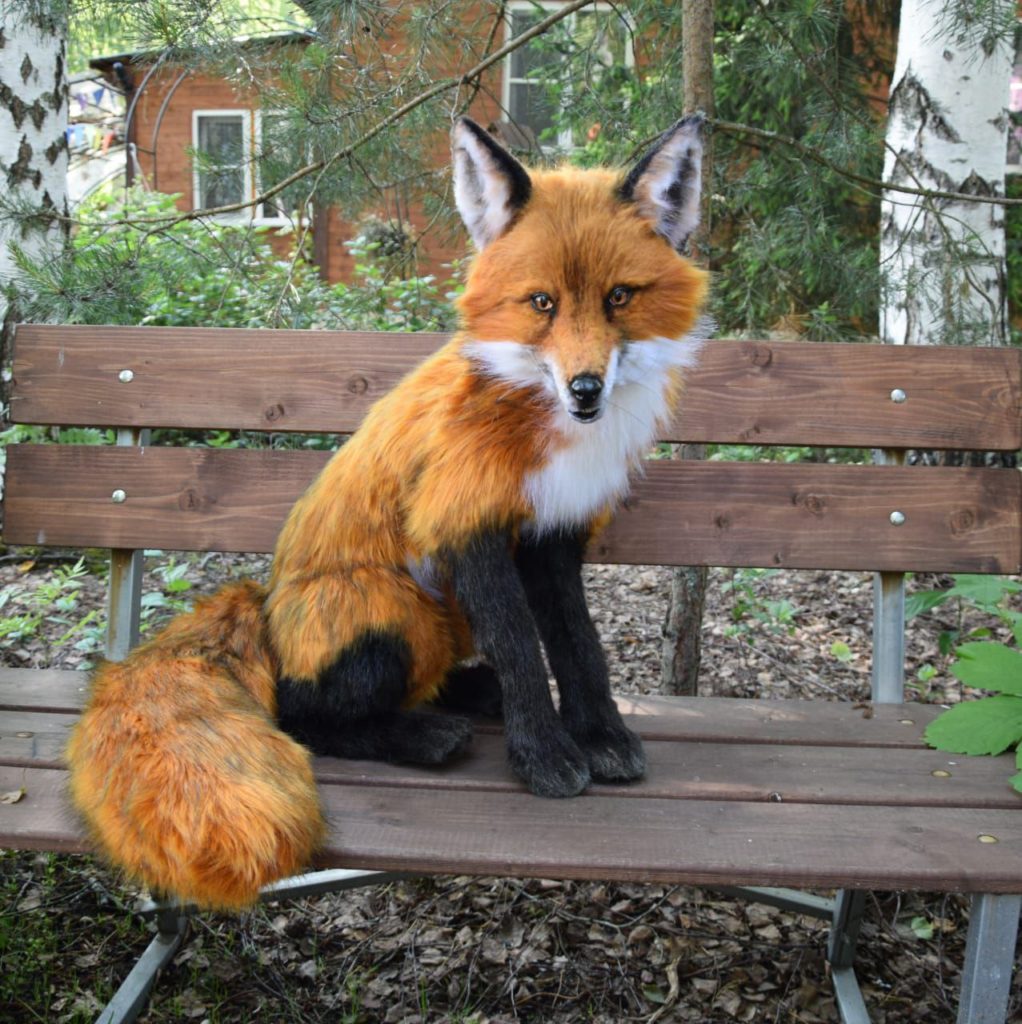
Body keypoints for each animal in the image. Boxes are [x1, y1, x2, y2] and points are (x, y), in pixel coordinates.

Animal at [67, 114, 710, 911]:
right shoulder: (466, 525)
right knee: (302, 711)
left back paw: (467, 695)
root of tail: (265, 605)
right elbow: (523, 650)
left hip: (438, 617)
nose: (585, 389)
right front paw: (544, 757)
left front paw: (601, 736)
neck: (541, 426)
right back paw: (425, 735)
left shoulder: (553, 535)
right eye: (542, 304)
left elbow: (577, 646)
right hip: (394, 608)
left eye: (620, 297)